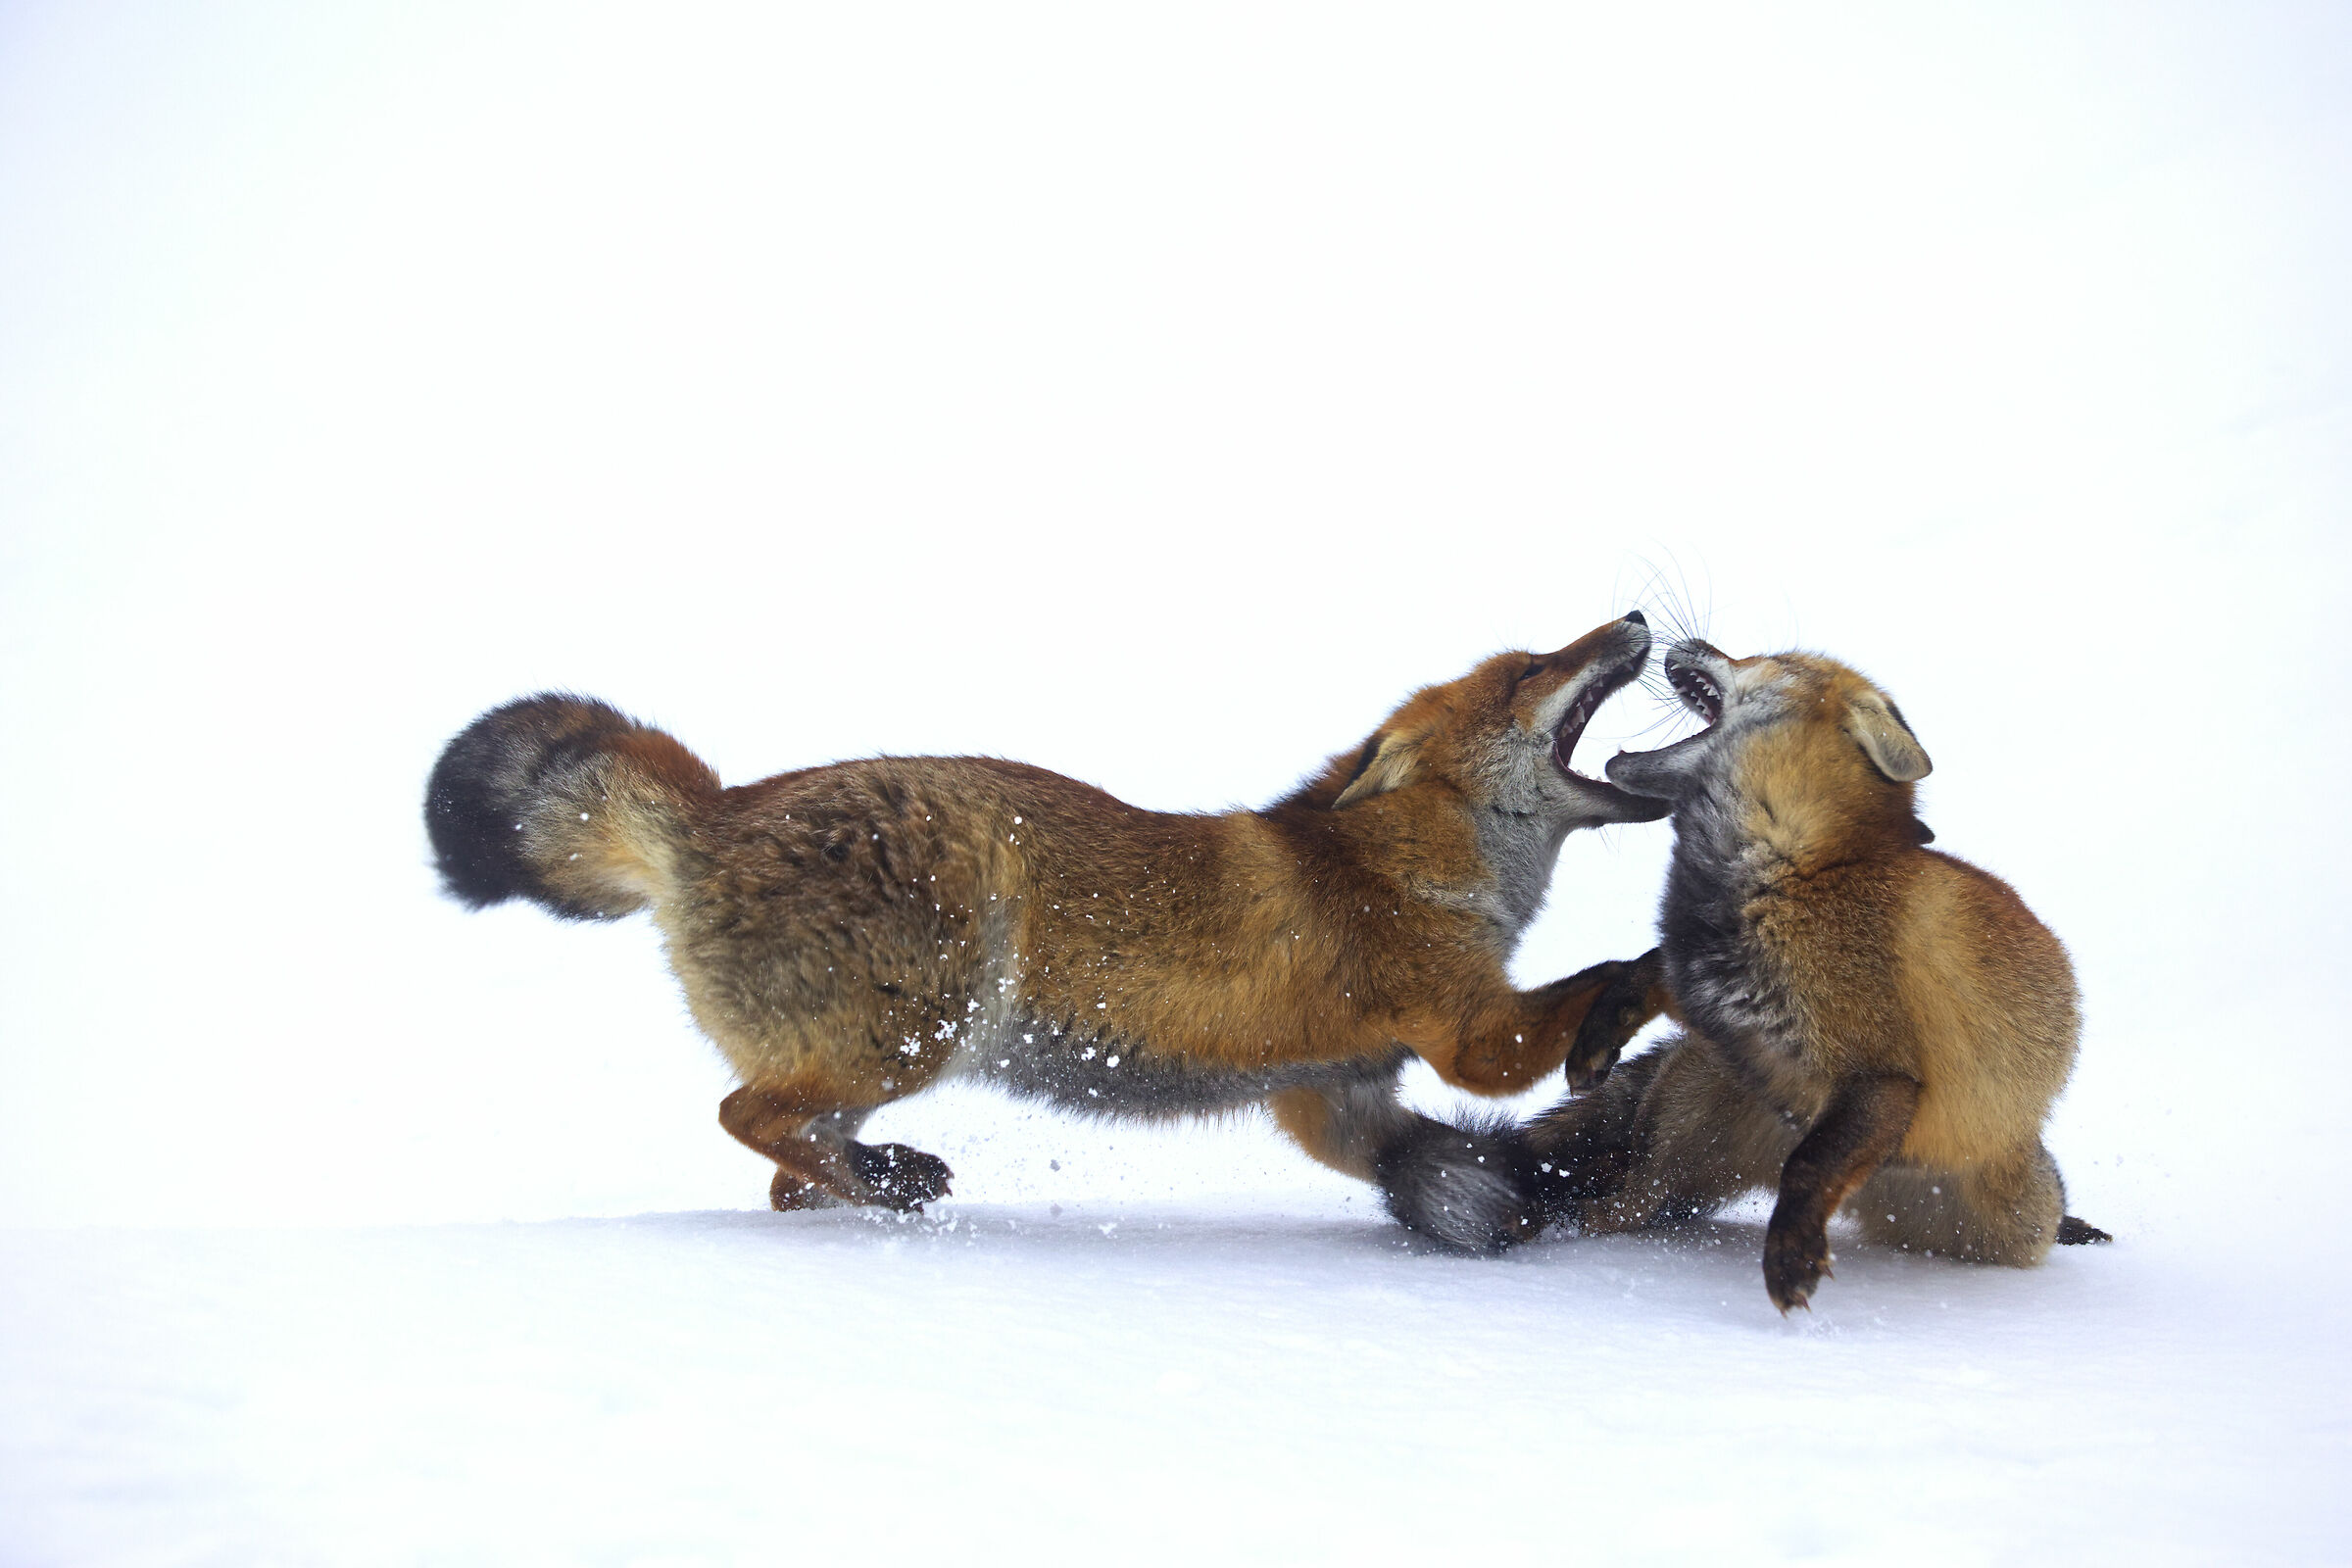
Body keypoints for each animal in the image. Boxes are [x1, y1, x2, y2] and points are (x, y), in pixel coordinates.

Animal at [423, 613, 1667, 1251]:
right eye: (1529, 669)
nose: (1638, 620)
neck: (1406, 863)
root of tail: (718, 808)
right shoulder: (1471, 1033)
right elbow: (1622, 972)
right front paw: (1652, 996)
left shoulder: (1333, 1096)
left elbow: (1436, 1160)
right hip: (919, 1031)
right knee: (746, 1118)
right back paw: (897, 1182)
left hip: (869, 1062)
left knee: (787, 1169)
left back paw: (873, 1192)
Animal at [1498, 637, 2109, 1311]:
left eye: (1763, 658)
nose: (1684, 641)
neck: (1794, 872)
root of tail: (1874, 1194)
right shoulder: (1705, 978)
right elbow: (1643, 970)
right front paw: (1599, 1034)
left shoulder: (1882, 1076)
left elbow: (1810, 1166)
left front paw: (1790, 1256)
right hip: (1687, 1130)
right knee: (1630, 1197)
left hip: (2013, 1224)